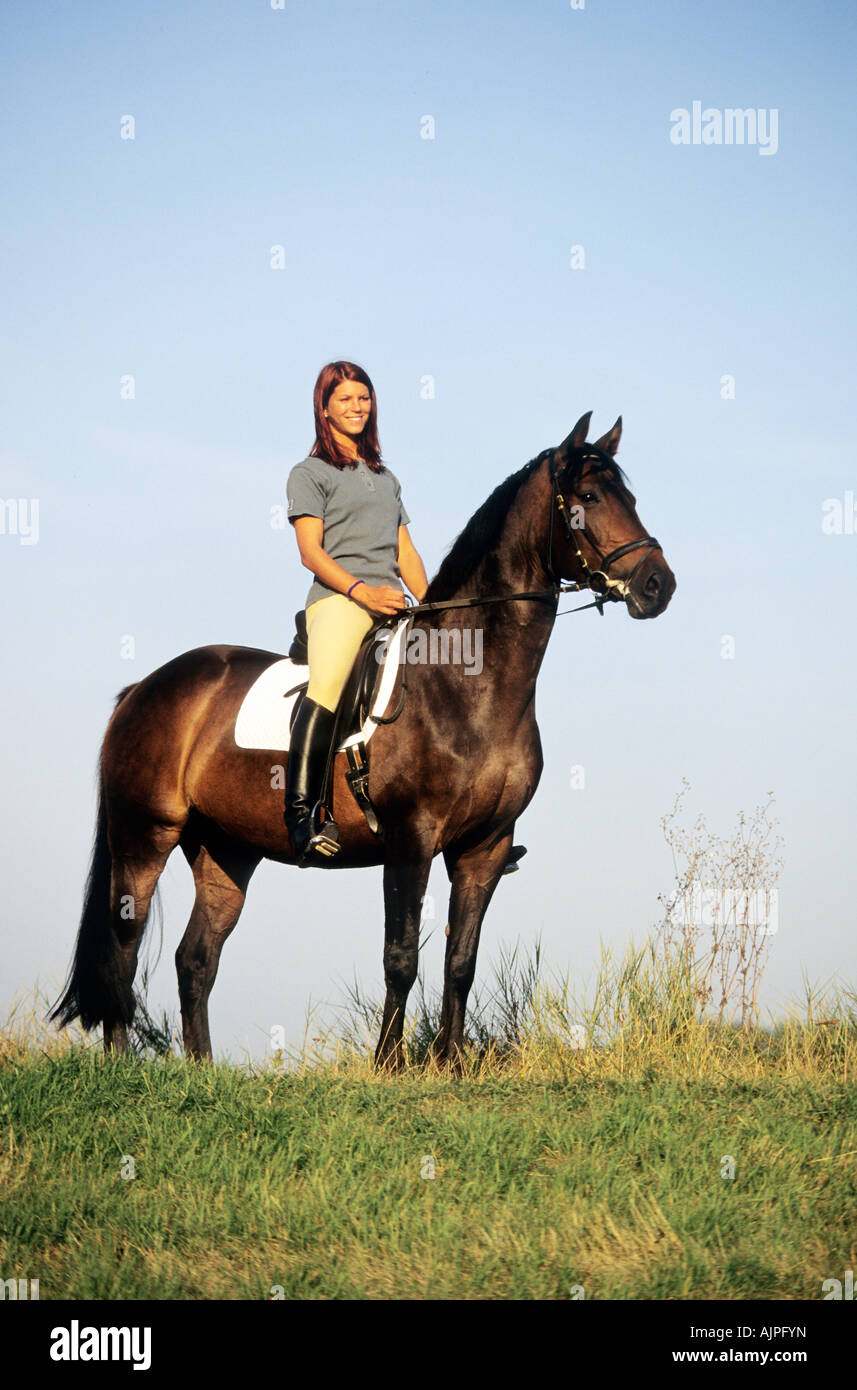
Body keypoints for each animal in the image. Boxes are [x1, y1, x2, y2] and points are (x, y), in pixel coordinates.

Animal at [48, 408, 675, 1061]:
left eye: (630, 497)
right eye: (588, 497)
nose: (658, 585)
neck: (466, 683)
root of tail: (142, 689)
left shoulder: (484, 847)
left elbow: (460, 962)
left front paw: (451, 1064)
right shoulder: (409, 840)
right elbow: (400, 958)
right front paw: (389, 1064)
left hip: (226, 849)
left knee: (195, 959)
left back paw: (201, 1069)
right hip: (144, 836)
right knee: (122, 948)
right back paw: (124, 1064)